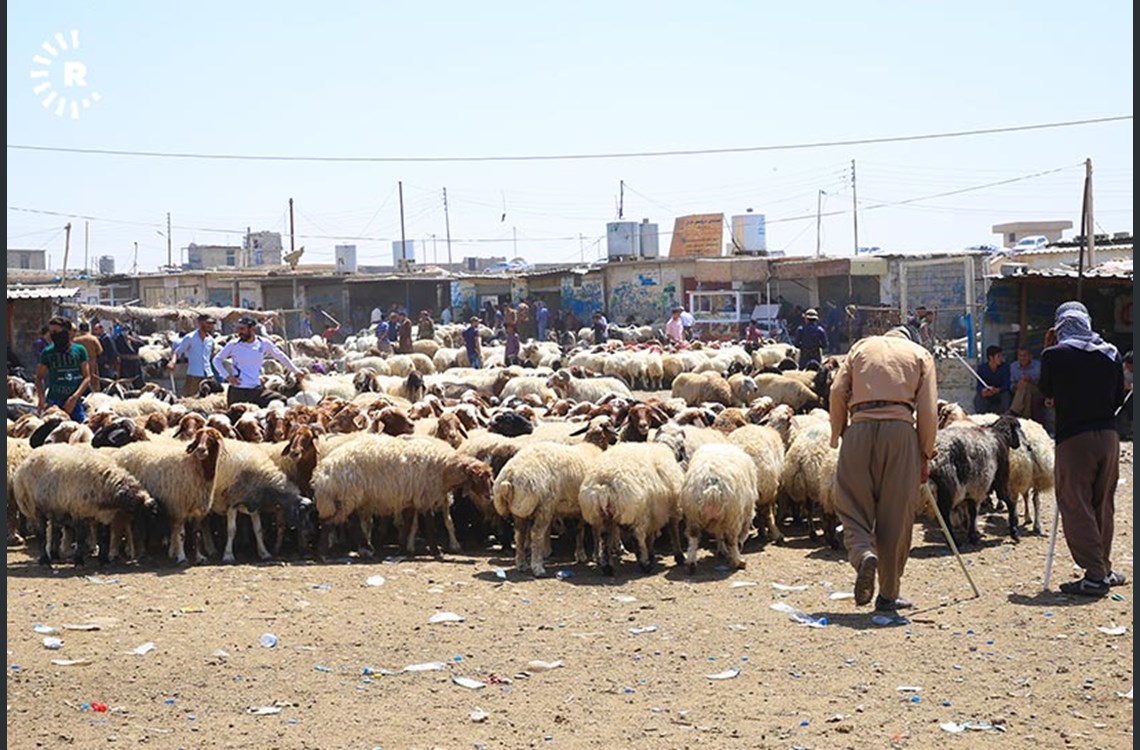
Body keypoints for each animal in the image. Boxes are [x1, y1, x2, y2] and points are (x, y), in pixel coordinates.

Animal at [13, 439, 158, 563]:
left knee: (54, 531)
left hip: (55, 508)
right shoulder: (78, 512)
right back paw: (44, 560)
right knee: (41, 534)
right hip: (36, 508)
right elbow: (81, 537)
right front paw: (79, 560)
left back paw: (54, 555)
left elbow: (103, 536)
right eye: (141, 511)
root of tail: (26, 461)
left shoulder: (102, 515)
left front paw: (103, 560)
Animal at [112, 426, 223, 560]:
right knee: (128, 524)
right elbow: (181, 534)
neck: (194, 466)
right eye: (198, 439)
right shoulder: (179, 507)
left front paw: (199, 557)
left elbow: (196, 533)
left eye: (211, 438)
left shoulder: (197, 510)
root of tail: (122, 451)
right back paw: (129, 550)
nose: (201, 450)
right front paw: (181, 556)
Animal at [312, 433, 490, 560]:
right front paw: (436, 551)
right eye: (479, 478)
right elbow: (430, 526)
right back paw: (324, 552)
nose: (489, 496)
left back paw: (365, 548)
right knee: (328, 522)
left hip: (348, 499)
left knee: (348, 523)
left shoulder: (410, 499)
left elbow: (408, 524)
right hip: (344, 497)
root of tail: (321, 474)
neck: (443, 469)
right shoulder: (425, 496)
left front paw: (403, 548)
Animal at [579, 439, 684, 574]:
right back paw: (644, 564)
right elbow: (673, 532)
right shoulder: (671, 509)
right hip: (636, 515)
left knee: (605, 539)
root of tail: (605, 485)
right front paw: (679, 556)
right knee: (637, 537)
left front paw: (652, 554)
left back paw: (608, 567)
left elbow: (651, 537)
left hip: (604, 517)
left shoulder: (653, 513)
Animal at [679, 439, 761, 569]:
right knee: (731, 540)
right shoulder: (746, 510)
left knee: (693, 536)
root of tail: (712, 485)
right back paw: (738, 561)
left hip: (693, 515)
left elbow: (718, 534)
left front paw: (721, 550)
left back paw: (691, 563)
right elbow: (739, 532)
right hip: (732, 516)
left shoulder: (717, 519)